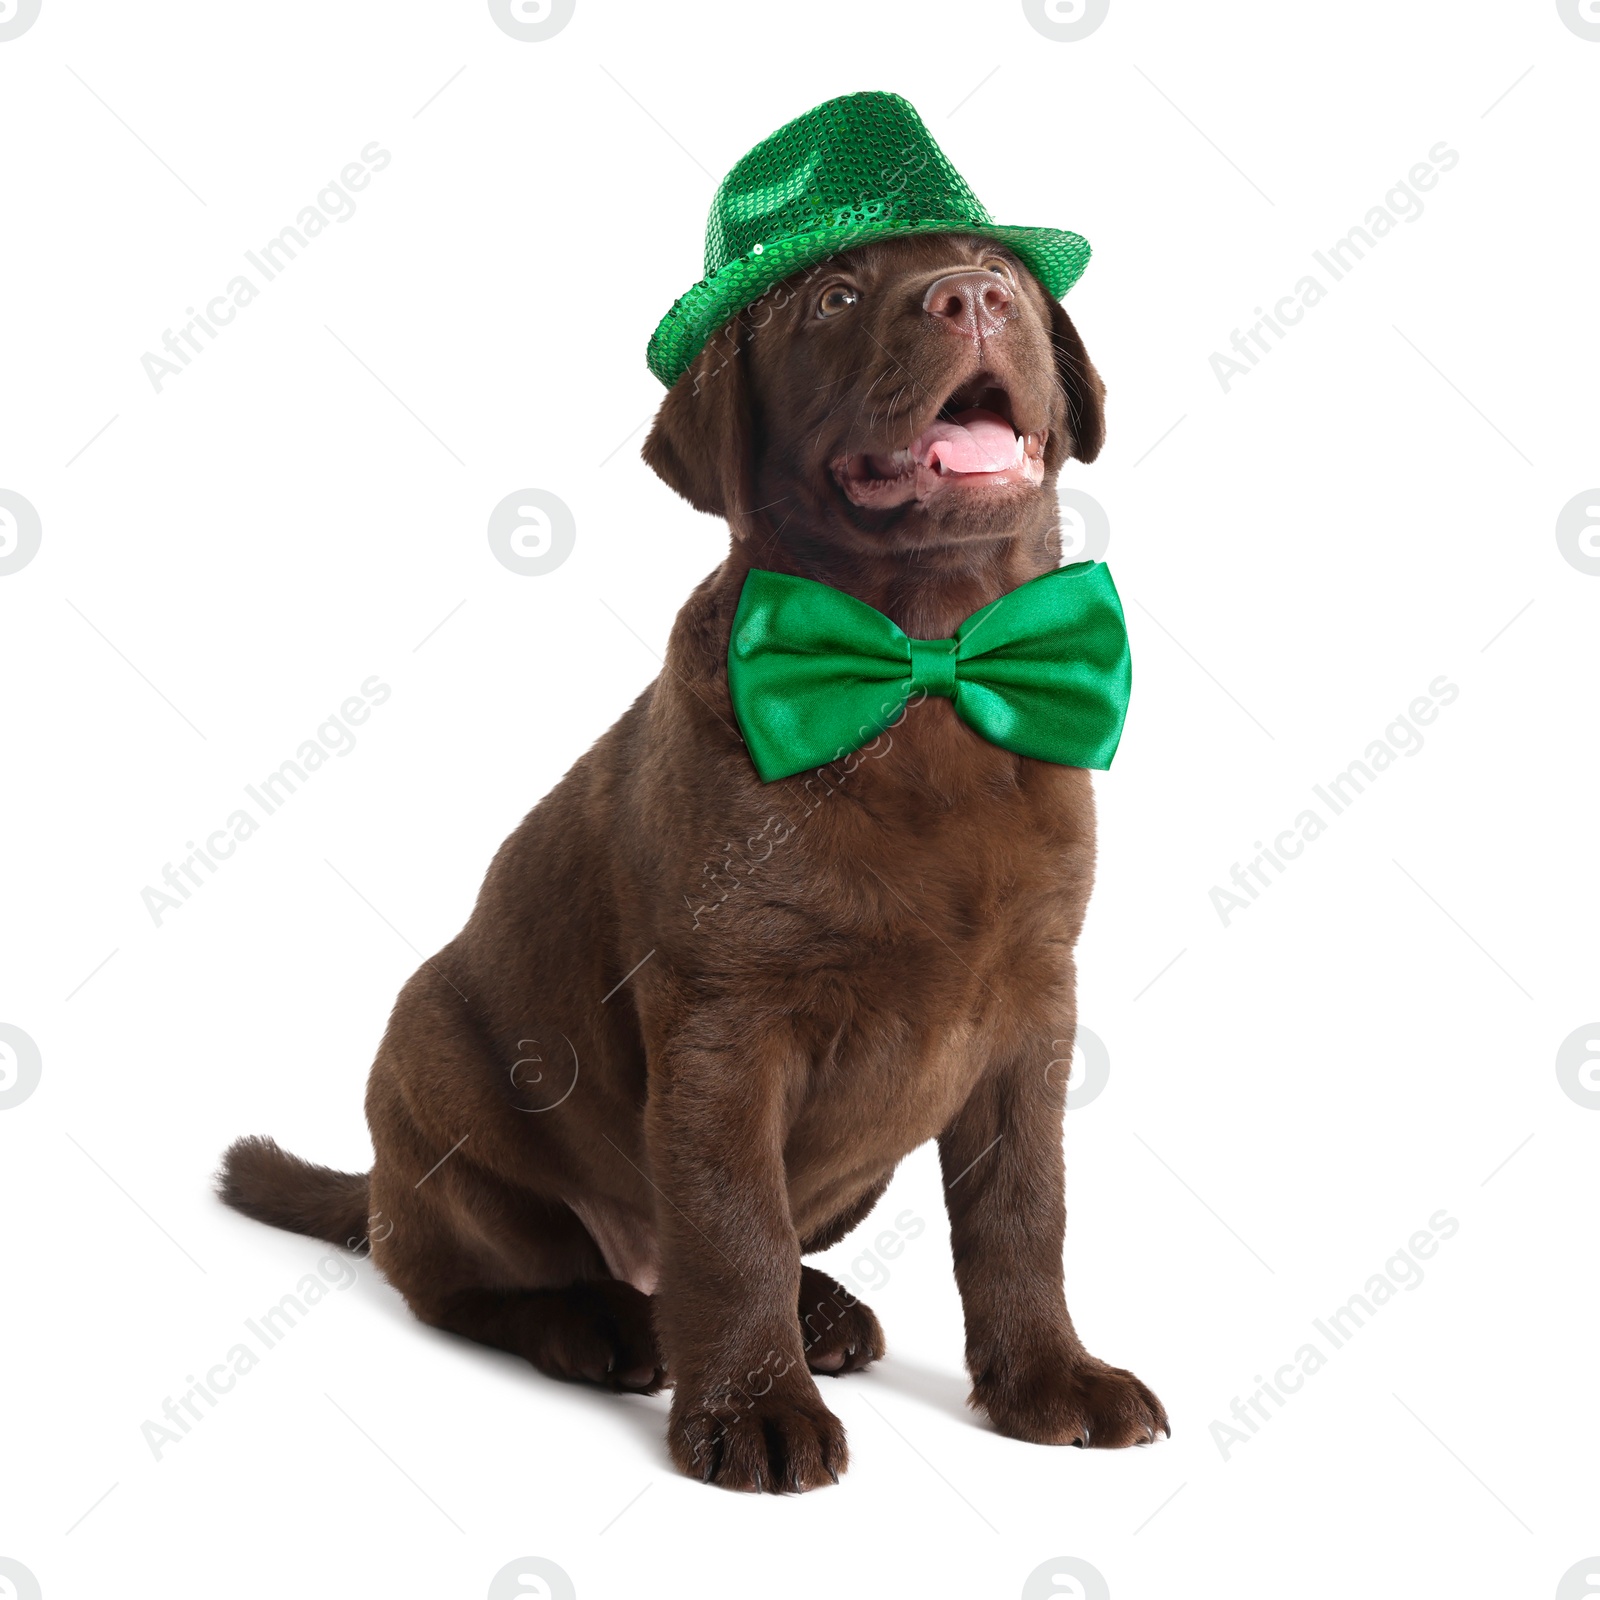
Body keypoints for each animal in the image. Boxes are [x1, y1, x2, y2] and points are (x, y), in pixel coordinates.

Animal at [216, 232, 1164, 1491]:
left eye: (997, 267)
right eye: (835, 297)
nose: (971, 297)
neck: (921, 661)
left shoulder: (1030, 1013)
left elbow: (1022, 1213)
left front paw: (1050, 1378)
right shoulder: (724, 1021)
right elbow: (729, 1226)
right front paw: (755, 1410)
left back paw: (816, 1314)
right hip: (435, 1074)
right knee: (466, 1279)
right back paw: (604, 1325)